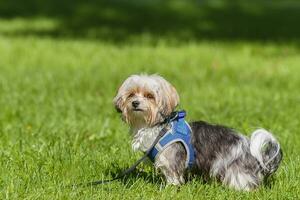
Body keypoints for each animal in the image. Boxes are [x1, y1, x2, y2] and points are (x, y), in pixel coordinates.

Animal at [112, 74, 282, 191]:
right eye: (131, 94)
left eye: (149, 96)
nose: (135, 103)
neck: (158, 127)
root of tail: (251, 150)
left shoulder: (171, 160)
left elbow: (173, 177)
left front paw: (169, 189)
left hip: (234, 168)